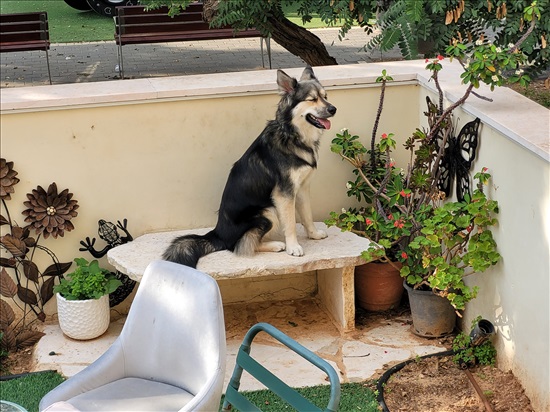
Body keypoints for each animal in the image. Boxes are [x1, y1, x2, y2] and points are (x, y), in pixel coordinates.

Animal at [162, 67, 338, 268]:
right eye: (312, 99)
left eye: (325, 96)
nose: (333, 109)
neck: (292, 135)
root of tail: (217, 235)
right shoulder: (283, 194)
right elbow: (291, 223)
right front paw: (293, 247)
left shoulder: (301, 188)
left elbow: (307, 215)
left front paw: (313, 234)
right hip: (269, 211)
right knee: (241, 245)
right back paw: (277, 245)